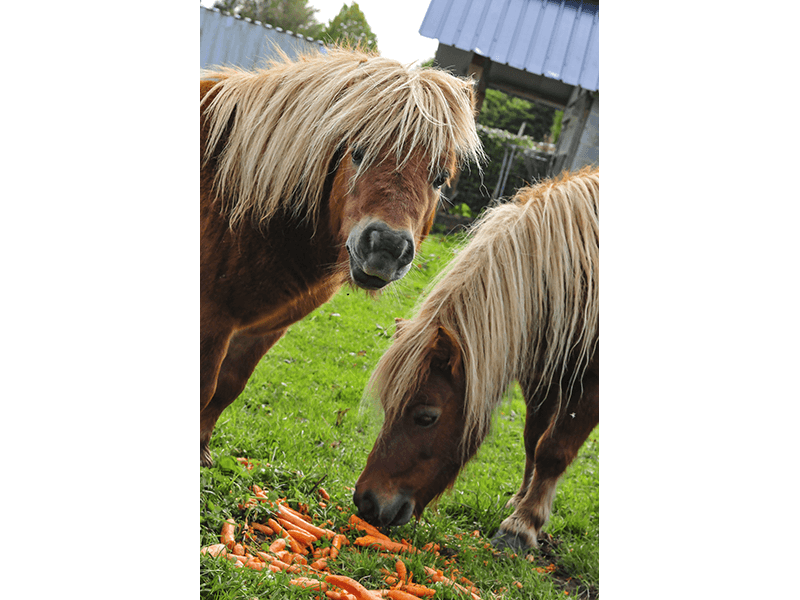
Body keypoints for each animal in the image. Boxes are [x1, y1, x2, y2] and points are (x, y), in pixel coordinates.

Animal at [203, 49, 484, 466]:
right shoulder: (213, 320)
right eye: (358, 152)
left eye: (438, 177)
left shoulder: (261, 330)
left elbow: (226, 386)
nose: (386, 247)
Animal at [354, 166, 596, 552]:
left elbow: (553, 450)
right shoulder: (542, 377)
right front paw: (521, 501)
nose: (366, 502)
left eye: (426, 417)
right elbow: (533, 439)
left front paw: (523, 526)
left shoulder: (589, 386)